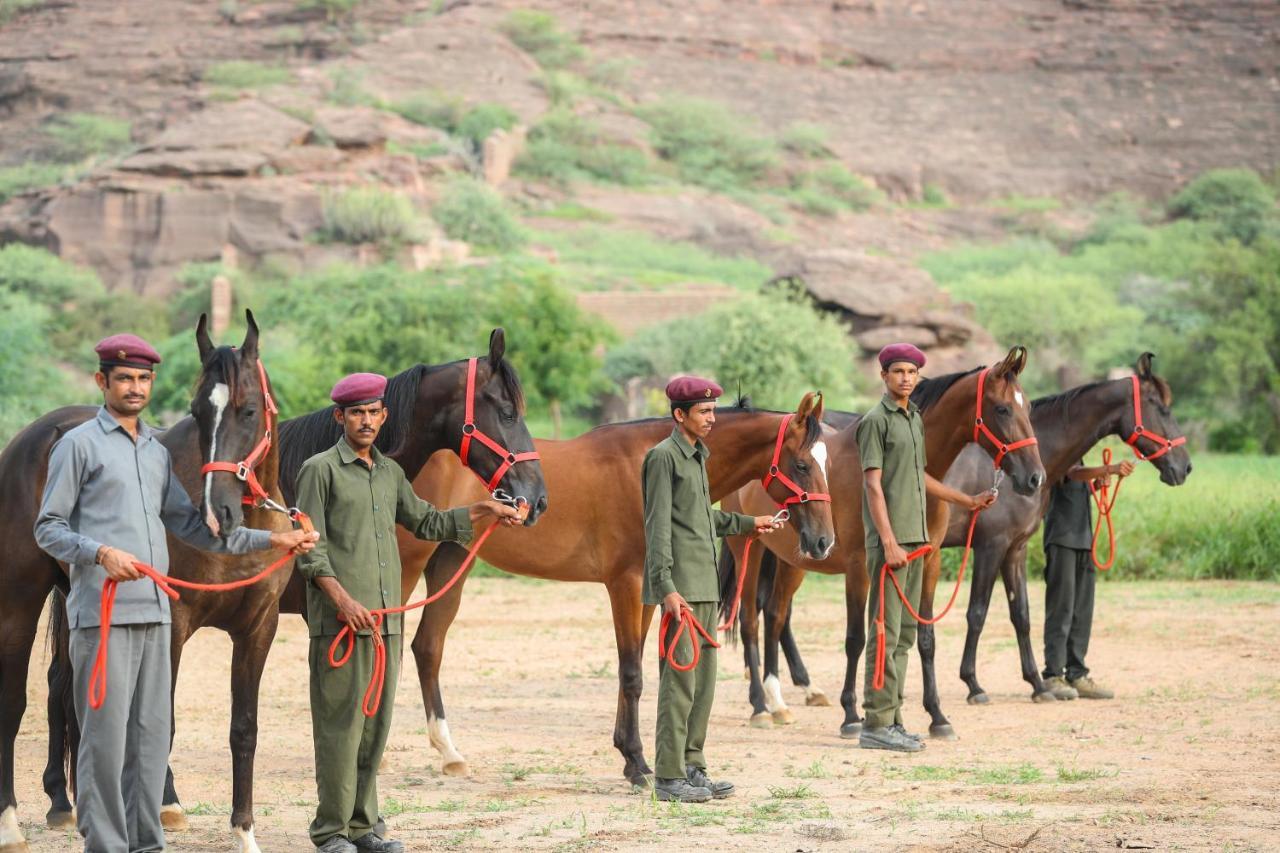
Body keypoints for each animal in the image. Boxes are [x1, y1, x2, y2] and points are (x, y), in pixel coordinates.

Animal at [396, 391, 839, 783]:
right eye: (802, 465)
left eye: (826, 463)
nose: (823, 541)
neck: (642, 464)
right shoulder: (625, 584)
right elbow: (631, 674)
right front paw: (638, 763)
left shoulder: (649, 591)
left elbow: (638, 666)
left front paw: (631, 757)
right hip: (408, 565)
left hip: (452, 560)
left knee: (428, 647)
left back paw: (450, 753)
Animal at [716, 345, 1044, 737]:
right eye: (1003, 409)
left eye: (1028, 407)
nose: (1034, 477)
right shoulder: (861, 567)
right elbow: (857, 639)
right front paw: (851, 715)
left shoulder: (927, 562)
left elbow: (924, 638)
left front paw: (936, 716)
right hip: (748, 552)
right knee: (750, 620)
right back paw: (760, 706)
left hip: (793, 560)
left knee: (776, 616)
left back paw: (782, 701)